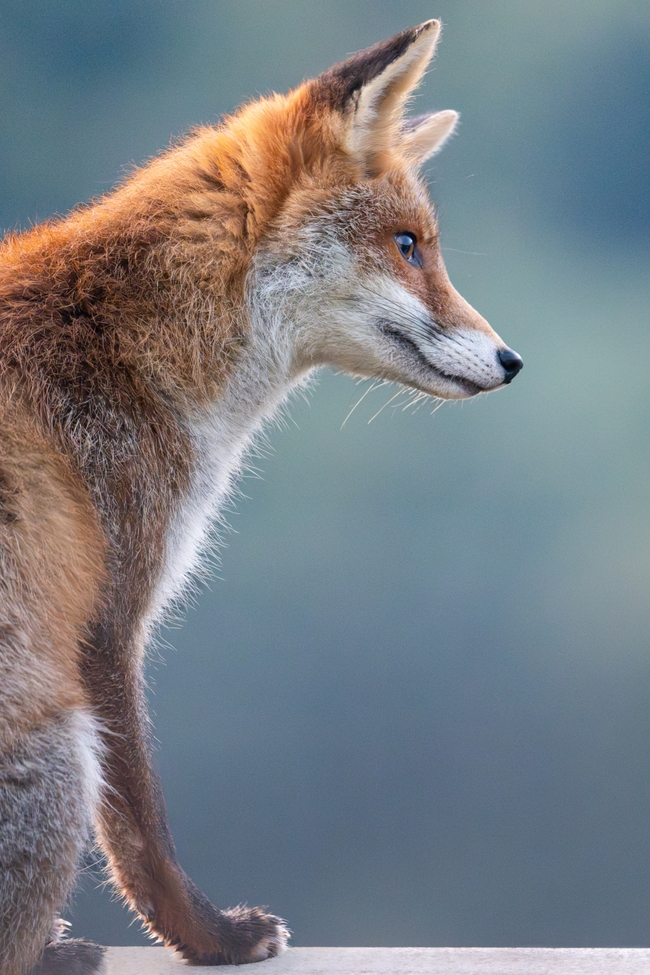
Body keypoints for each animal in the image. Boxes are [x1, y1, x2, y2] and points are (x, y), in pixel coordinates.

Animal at [0, 17, 520, 975]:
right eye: (407, 245)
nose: (512, 360)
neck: (125, 339)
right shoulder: (106, 618)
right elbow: (144, 833)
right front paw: (211, 939)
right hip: (59, 745)